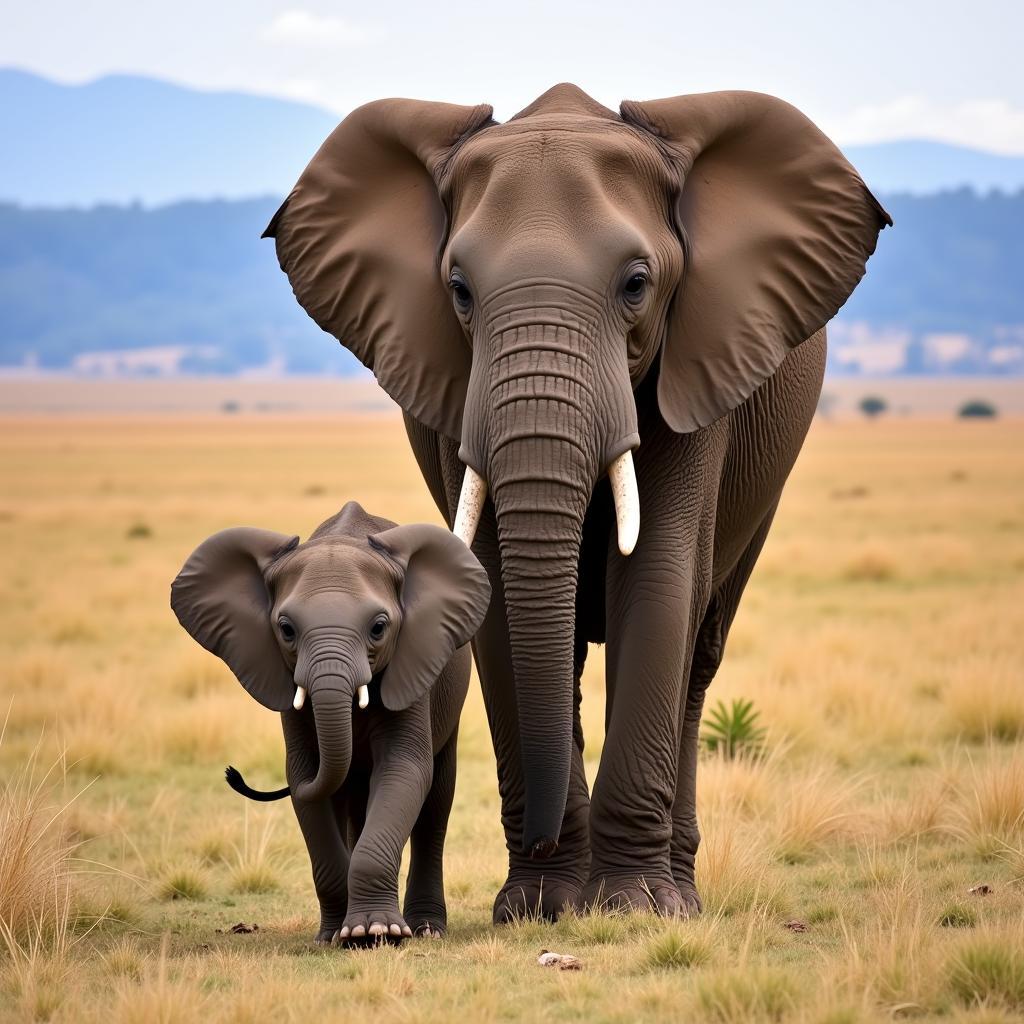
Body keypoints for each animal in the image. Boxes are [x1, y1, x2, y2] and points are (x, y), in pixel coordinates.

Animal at [169, 499, 489, 937]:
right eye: (286, 629)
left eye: (378, 628)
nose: (233, 774)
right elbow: (306, 775)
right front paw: (339, 935)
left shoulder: (411, 669)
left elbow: (404, 768)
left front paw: (376, 932)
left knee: (435, 802)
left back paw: (427, 929)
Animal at [262, 83, 888, 925]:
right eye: (459, 291)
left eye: (636, 284)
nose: (550, 853)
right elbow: (491, 591)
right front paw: (537, 907)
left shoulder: (697, 366)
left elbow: (659, 577)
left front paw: (636, 908)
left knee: (699, 659)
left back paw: (677, 892)